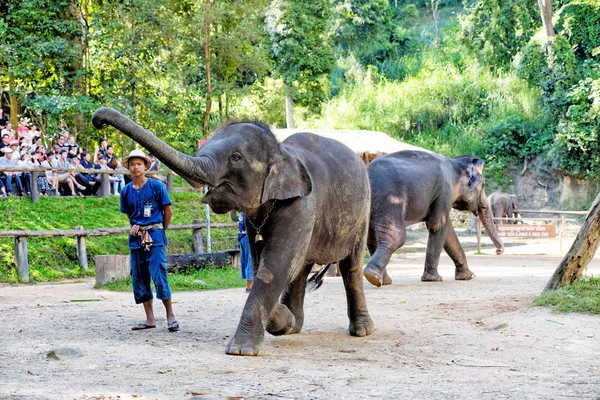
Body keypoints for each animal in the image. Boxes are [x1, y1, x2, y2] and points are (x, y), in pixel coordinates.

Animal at [92, 107, 376, 356]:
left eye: (236, 157)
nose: (98, 121)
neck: (280, 150)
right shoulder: (254, 220)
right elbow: (266, 263)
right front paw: (282, 320)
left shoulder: (302, 204)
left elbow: (274, 267)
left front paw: (241, 350)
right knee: (302, 268)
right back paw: (294, 326)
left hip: (363, 208)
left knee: (351, 266)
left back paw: (362, 330)